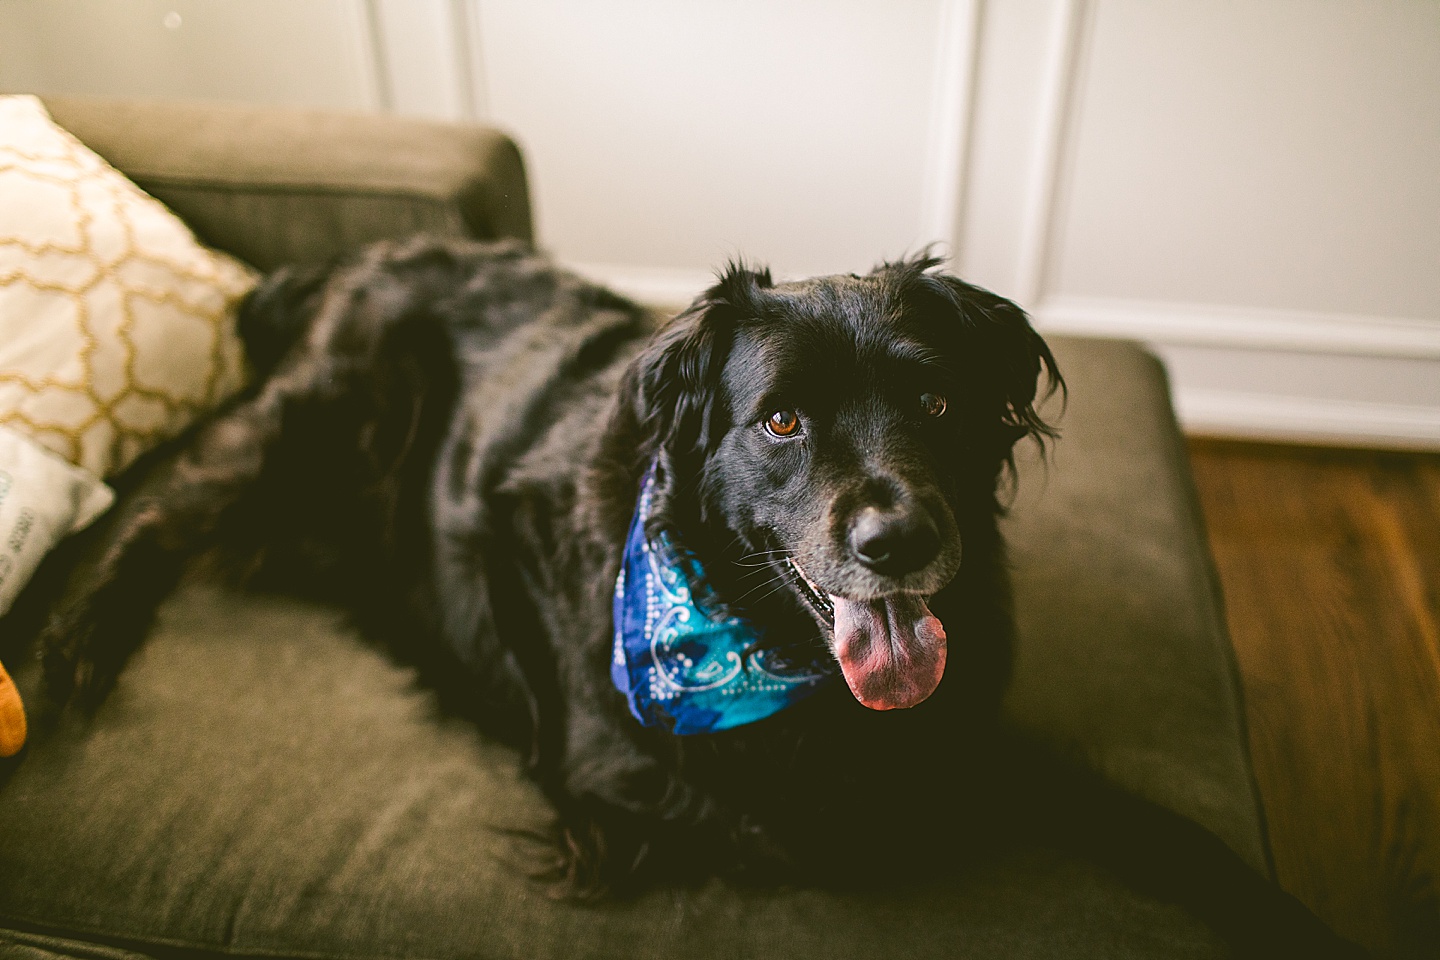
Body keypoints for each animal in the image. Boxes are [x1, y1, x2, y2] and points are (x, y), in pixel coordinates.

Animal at [36, 236, 1359, 955]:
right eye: (780, 422)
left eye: (936, 403)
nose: (900, 537)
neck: (762, 648)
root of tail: (357, 259)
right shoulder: (622, 763)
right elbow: (817, 822)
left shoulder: (975, 716)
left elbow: (1140, 819)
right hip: (308, 426)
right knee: (165, 495)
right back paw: (72, 644)